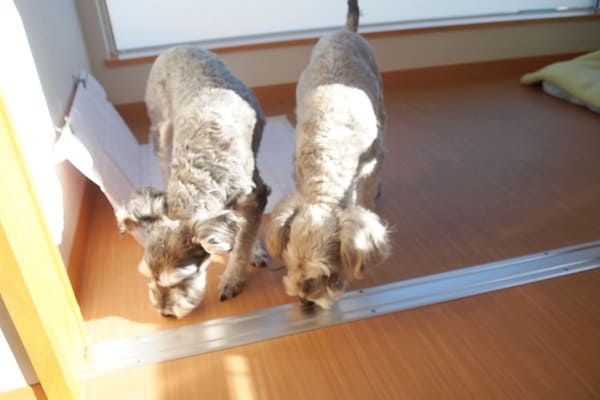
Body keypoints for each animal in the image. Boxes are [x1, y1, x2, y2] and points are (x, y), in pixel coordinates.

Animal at [116, 47, 270, 318]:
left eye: (182, 279)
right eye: (149, 275)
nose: (166, 313)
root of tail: (178, 47)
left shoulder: (254, 197)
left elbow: (244, 240)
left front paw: (233, 278)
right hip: (162, 132)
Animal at [266, 0, 391, 309]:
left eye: (328, 274)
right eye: (288, 265)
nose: (304, 303)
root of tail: (346, 31)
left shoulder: (375, 159)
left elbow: (366, 197)